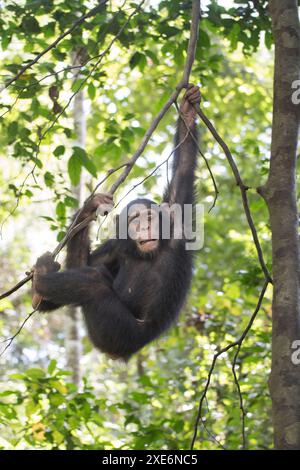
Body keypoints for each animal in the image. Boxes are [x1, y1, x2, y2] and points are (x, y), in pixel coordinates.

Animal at [31, 84, 200, 362]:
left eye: (148, 217)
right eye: (134, 220)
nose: (144, 227)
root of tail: (117, 353)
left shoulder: (177, 216)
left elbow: (184, 167)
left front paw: (187, 112)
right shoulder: (117, 246)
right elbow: (86, 262)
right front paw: (90, 206)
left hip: (116, 331)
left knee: (93, 283)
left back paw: (42, 279)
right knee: (92, 274)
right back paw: (40, 296)